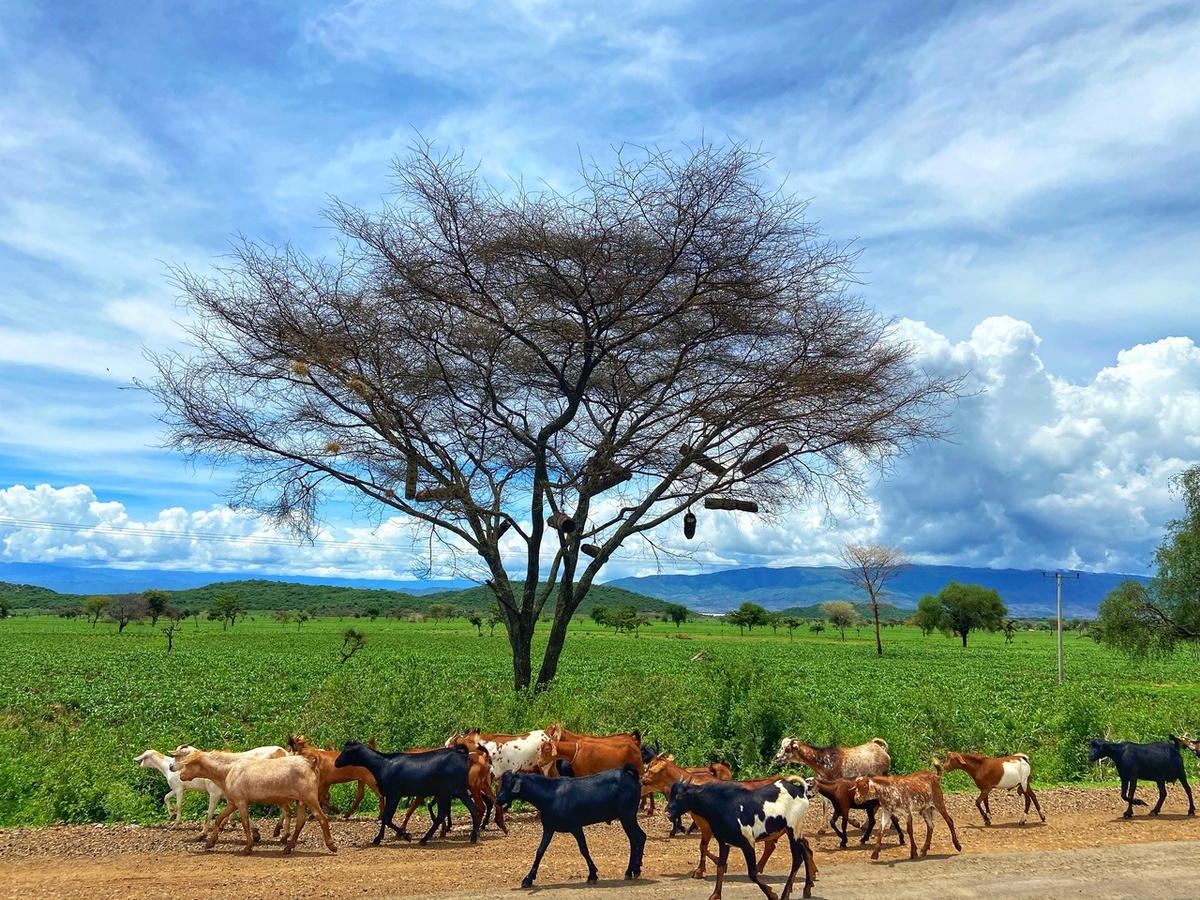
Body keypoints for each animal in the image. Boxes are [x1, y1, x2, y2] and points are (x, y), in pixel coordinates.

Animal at [333, 739, 477, 844]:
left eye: (346, 751)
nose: (336, 762)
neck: (382, 764)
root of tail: (462, 755)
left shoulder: (394, 795)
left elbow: (387, 818)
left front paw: (406, 835)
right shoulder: (389, 796)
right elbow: (384, 817)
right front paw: (378, 838)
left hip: (446, 792)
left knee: (443, 814)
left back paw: (425, 839)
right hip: (459, 791)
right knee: (472, 809)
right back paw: (473, 837)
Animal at [496, 763, 648, 892]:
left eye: (509, 783)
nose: (498, 799)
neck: (551, 794)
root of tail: (630, 775)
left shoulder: (575, 827)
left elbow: (584, 849)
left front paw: (592, 875)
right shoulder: (549, 828)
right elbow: (540, 851)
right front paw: (528, 879)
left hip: (627, 815)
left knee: (640, 837)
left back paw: (636, 870)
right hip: (625, 817)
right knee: (633, 839)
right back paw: (630, 871)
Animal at [667, 777, 816, 900]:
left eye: (679, 795)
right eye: (671, 794)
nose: (667, 811)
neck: (722, 805)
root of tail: (799, 790)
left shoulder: (748, 843)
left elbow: (752, 873)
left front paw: (772, 894)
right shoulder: (724, 842)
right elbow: (720, 867)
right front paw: (715, 895)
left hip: (793, 830)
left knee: (797, 859)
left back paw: (785, 894)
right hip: (795, 832)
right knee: (806, 852)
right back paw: (807, 889)